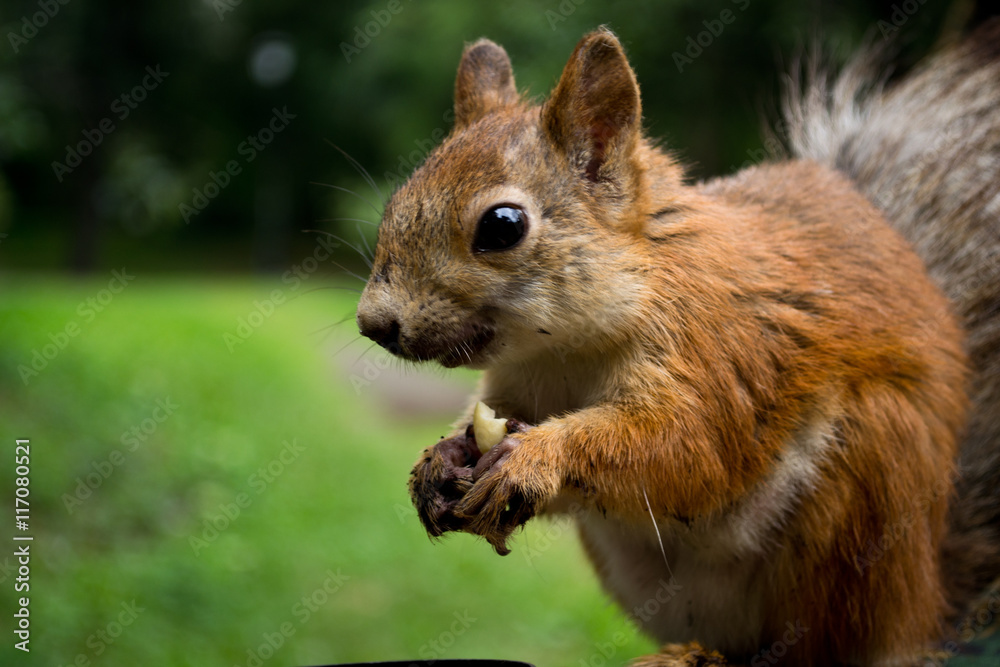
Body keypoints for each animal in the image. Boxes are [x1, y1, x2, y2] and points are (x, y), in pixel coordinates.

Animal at [356, 21, 1000, 667]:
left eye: (502, 225)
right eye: (397, 201)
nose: (373, 324)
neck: (566, 349)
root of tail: (924, 609)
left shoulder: (717, 348)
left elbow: (684, 446)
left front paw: (538, 458)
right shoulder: (520, 383)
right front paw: (440, 460)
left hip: (865, 491)